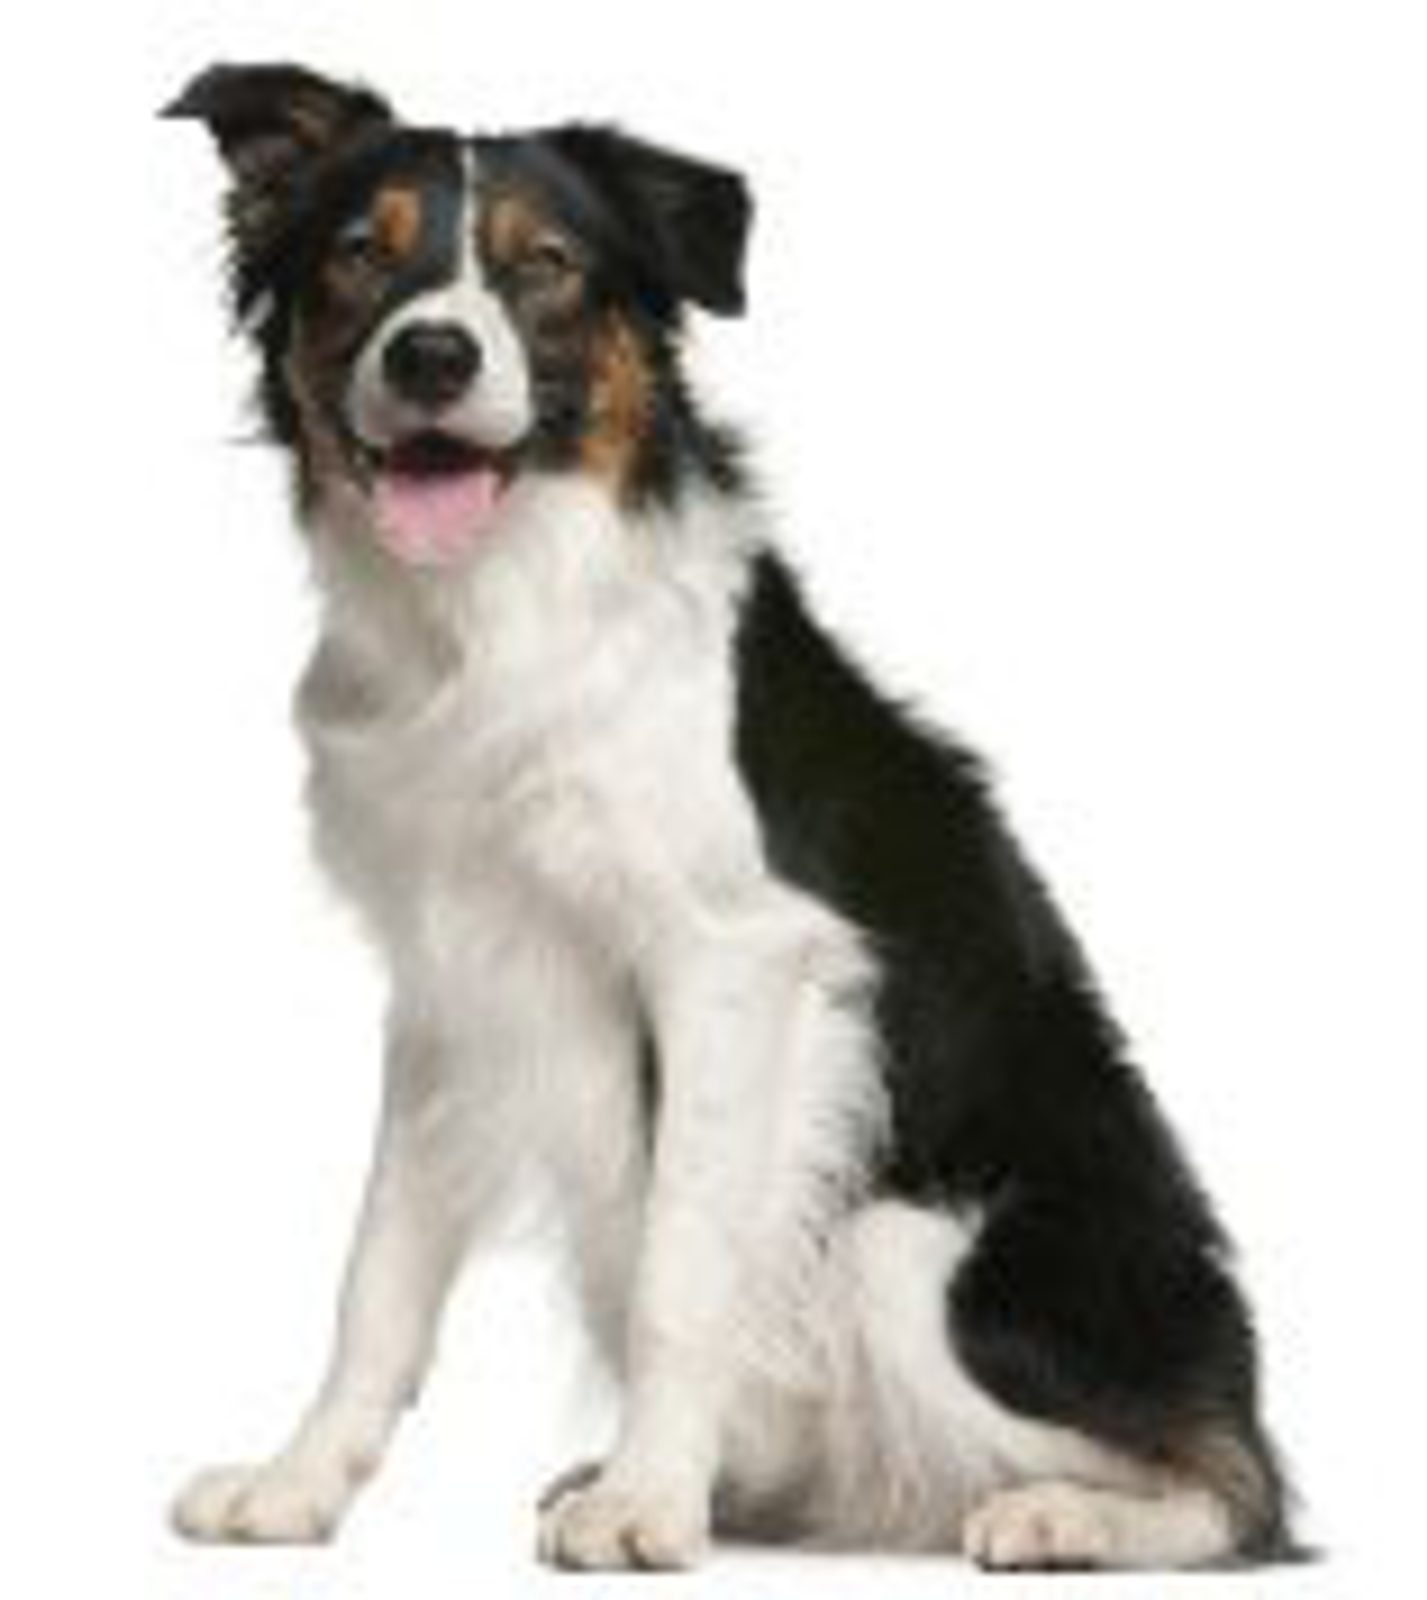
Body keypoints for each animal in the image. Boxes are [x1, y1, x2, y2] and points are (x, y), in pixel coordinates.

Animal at [165, 63, 1290, 1569]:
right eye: (357, 252)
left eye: (545, 265)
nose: (431, 358)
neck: (496, 622)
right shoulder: (451, 978)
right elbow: (379, 1274)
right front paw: (297, 1484)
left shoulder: (730, 958)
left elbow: (681, 1264)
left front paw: (649, 1501)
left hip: (907, 1244)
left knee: (1227, 1481)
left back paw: (1057, 1515)